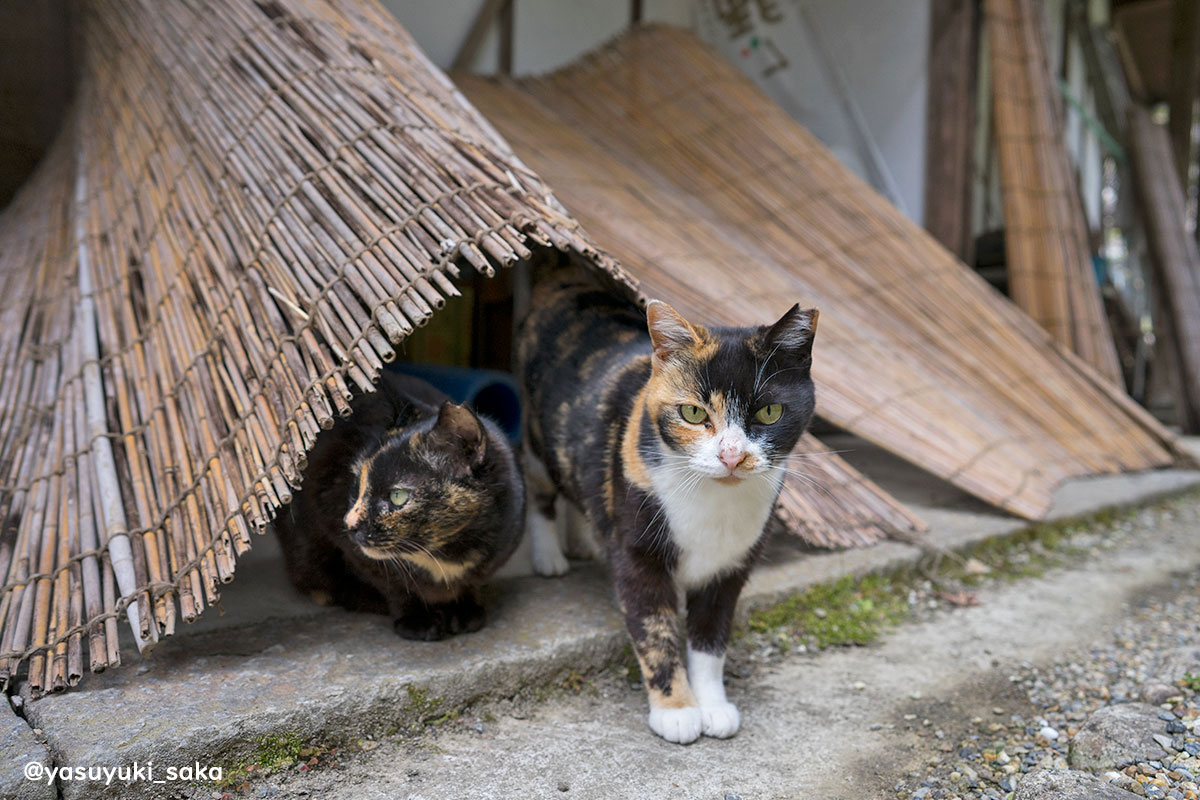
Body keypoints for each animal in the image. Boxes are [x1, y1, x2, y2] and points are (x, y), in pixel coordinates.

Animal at [278, 371, 528, 642]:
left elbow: (471, 581)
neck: (446, 551)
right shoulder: (331, 512)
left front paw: (463, 610)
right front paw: (418, 619)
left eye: (397, 496)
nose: (350, 523)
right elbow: (396, 585)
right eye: (356, 485)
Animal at [516, 271, 816, 743]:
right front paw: (676, 710)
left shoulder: (730, 568)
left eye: (770, 411)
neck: (714, 503)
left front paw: (713, 705)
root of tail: (564, 280)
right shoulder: (638, 555)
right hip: (535, 434)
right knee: (542, 486)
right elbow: (655, 632)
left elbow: (711, 640)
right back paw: (549, 557)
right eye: (692, 413)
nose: (732, 455)